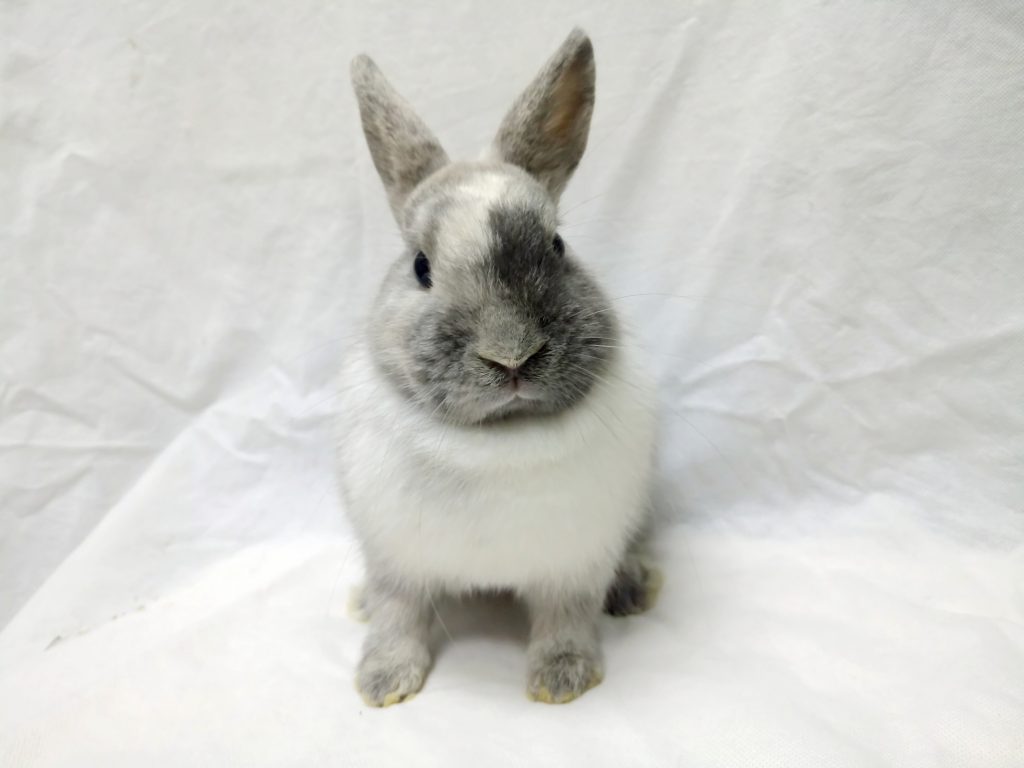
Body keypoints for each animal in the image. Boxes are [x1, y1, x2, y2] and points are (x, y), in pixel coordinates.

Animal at [337, 28, 659, 707]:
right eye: (421, 267)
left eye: (558, 247)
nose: (511, 354)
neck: (498, 439)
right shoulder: (395, 560)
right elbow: (398, 615)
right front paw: (383, 683)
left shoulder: (574, 567)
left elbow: (566, 619)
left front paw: (562, 680)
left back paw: (632, 588)